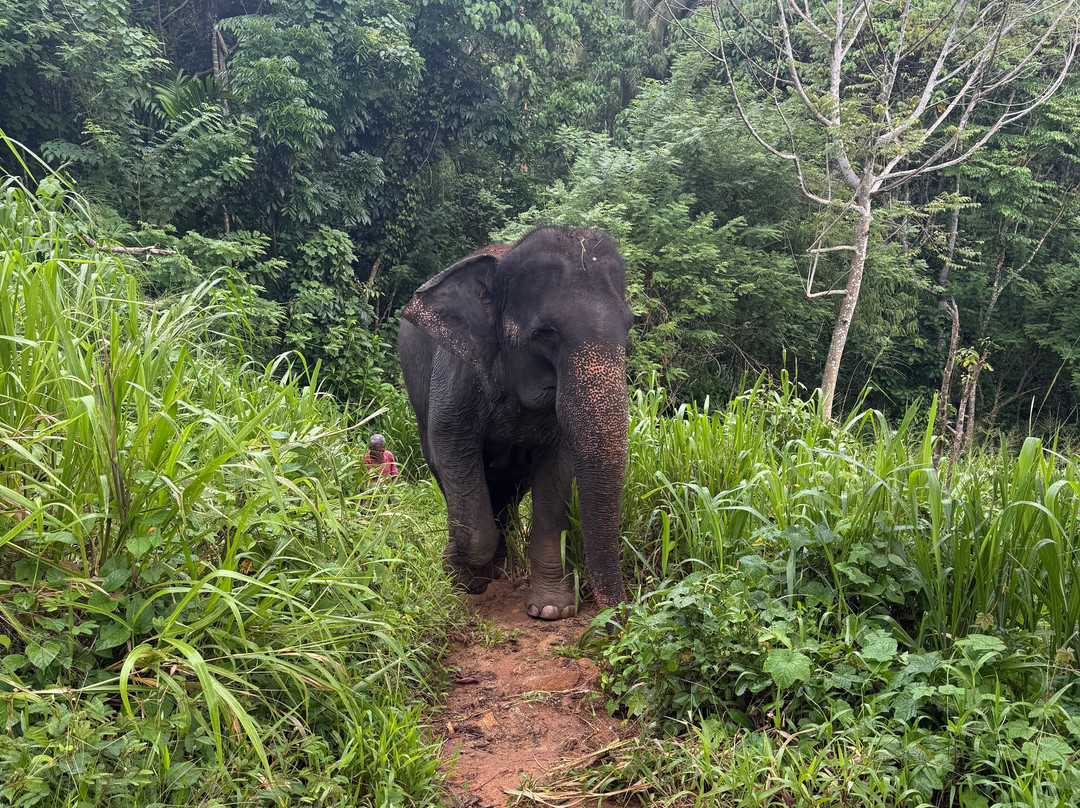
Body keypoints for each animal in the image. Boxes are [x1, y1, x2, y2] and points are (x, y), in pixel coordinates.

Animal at [397, 226, 631, 619]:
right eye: (546, 333)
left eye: (628, 327)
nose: (619, 618)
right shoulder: (457, 370)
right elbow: (452, 449)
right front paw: (466, 579)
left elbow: (557, 474)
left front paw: (551, 610)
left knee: (506, 494)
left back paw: (501, 569)